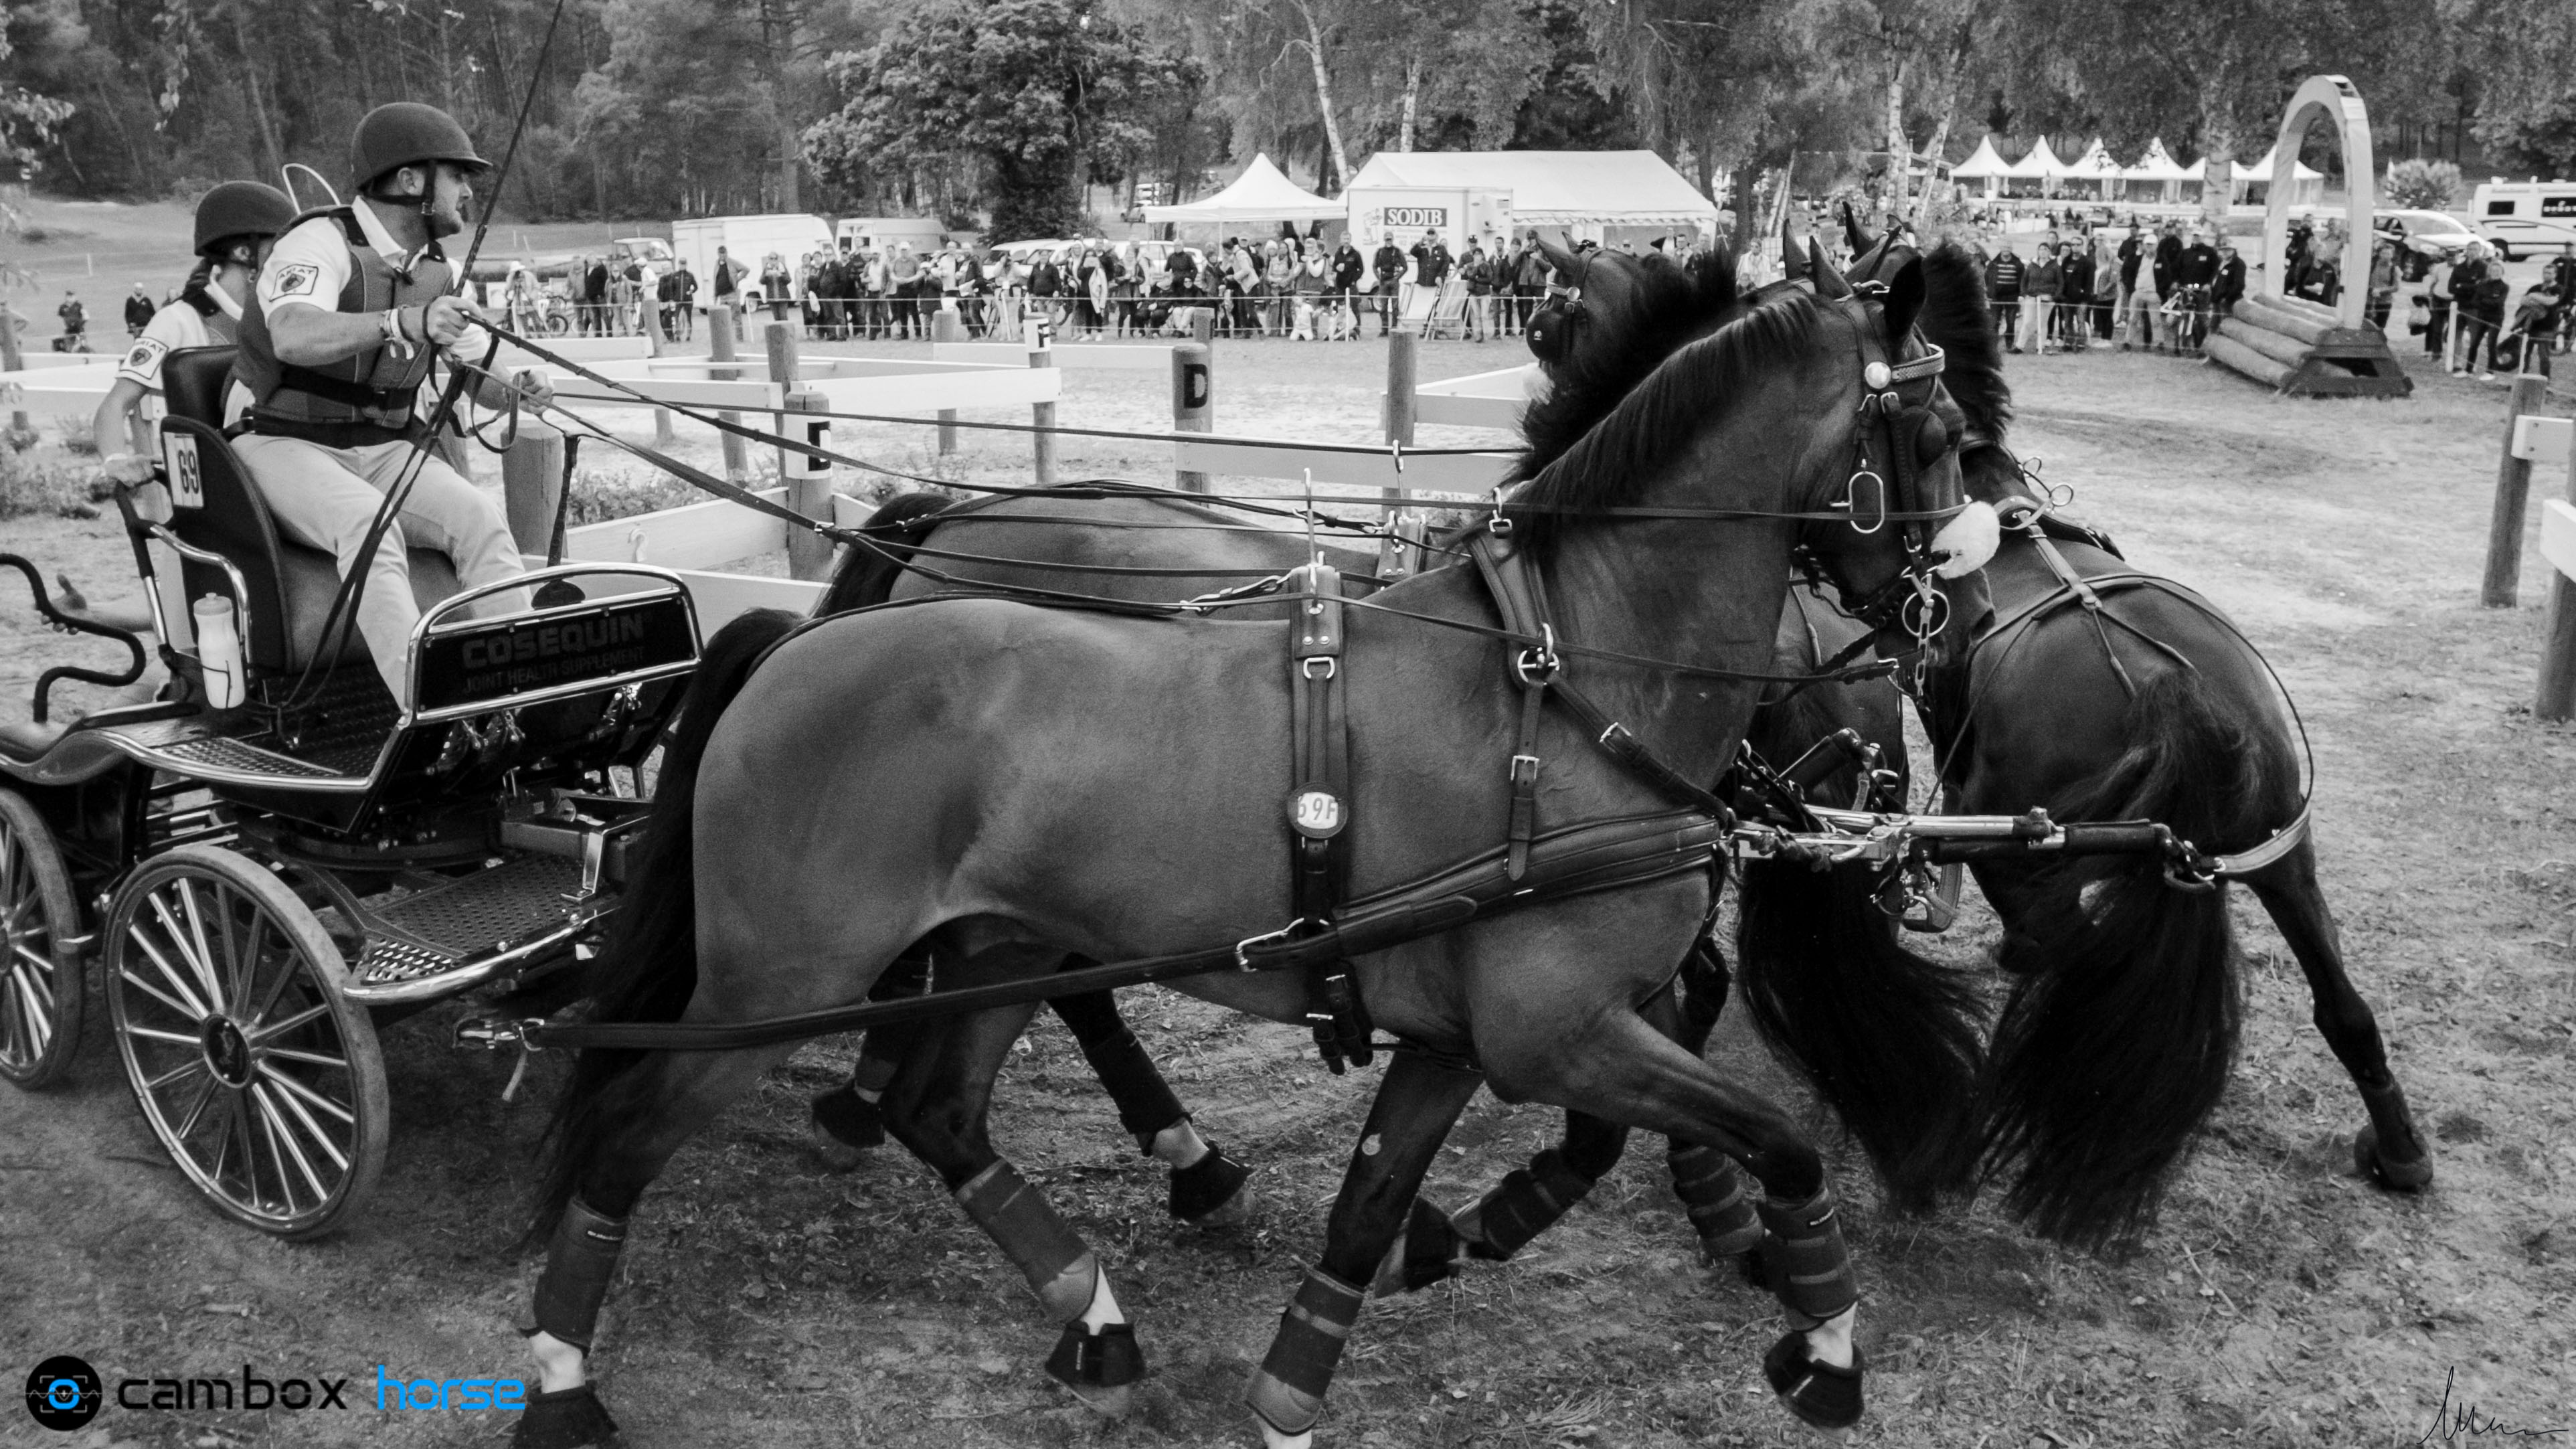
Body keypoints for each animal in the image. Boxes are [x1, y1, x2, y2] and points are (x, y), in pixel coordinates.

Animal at [510, 249, 1990, 1449]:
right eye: (1943, 432)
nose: (1961, 623)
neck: (1566, 678)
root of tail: (790, 643)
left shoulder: (1463, 1037)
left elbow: (1368, 1208)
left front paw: (1307, 1372)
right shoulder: (1556, 1032)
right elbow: (1779, 1142)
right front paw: (1823, 1346)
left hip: (1001, 941)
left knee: (946, 1113)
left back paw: (1090, 1303)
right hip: (777, 986)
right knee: (627, 1134)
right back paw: (562, 1378)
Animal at [1795, 218, 2432, 1248]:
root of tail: (2182, 696)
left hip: (2025, 852)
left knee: (2067, 954)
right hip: (2280, 855)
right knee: (2343, 1005)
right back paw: (2401, 1147)